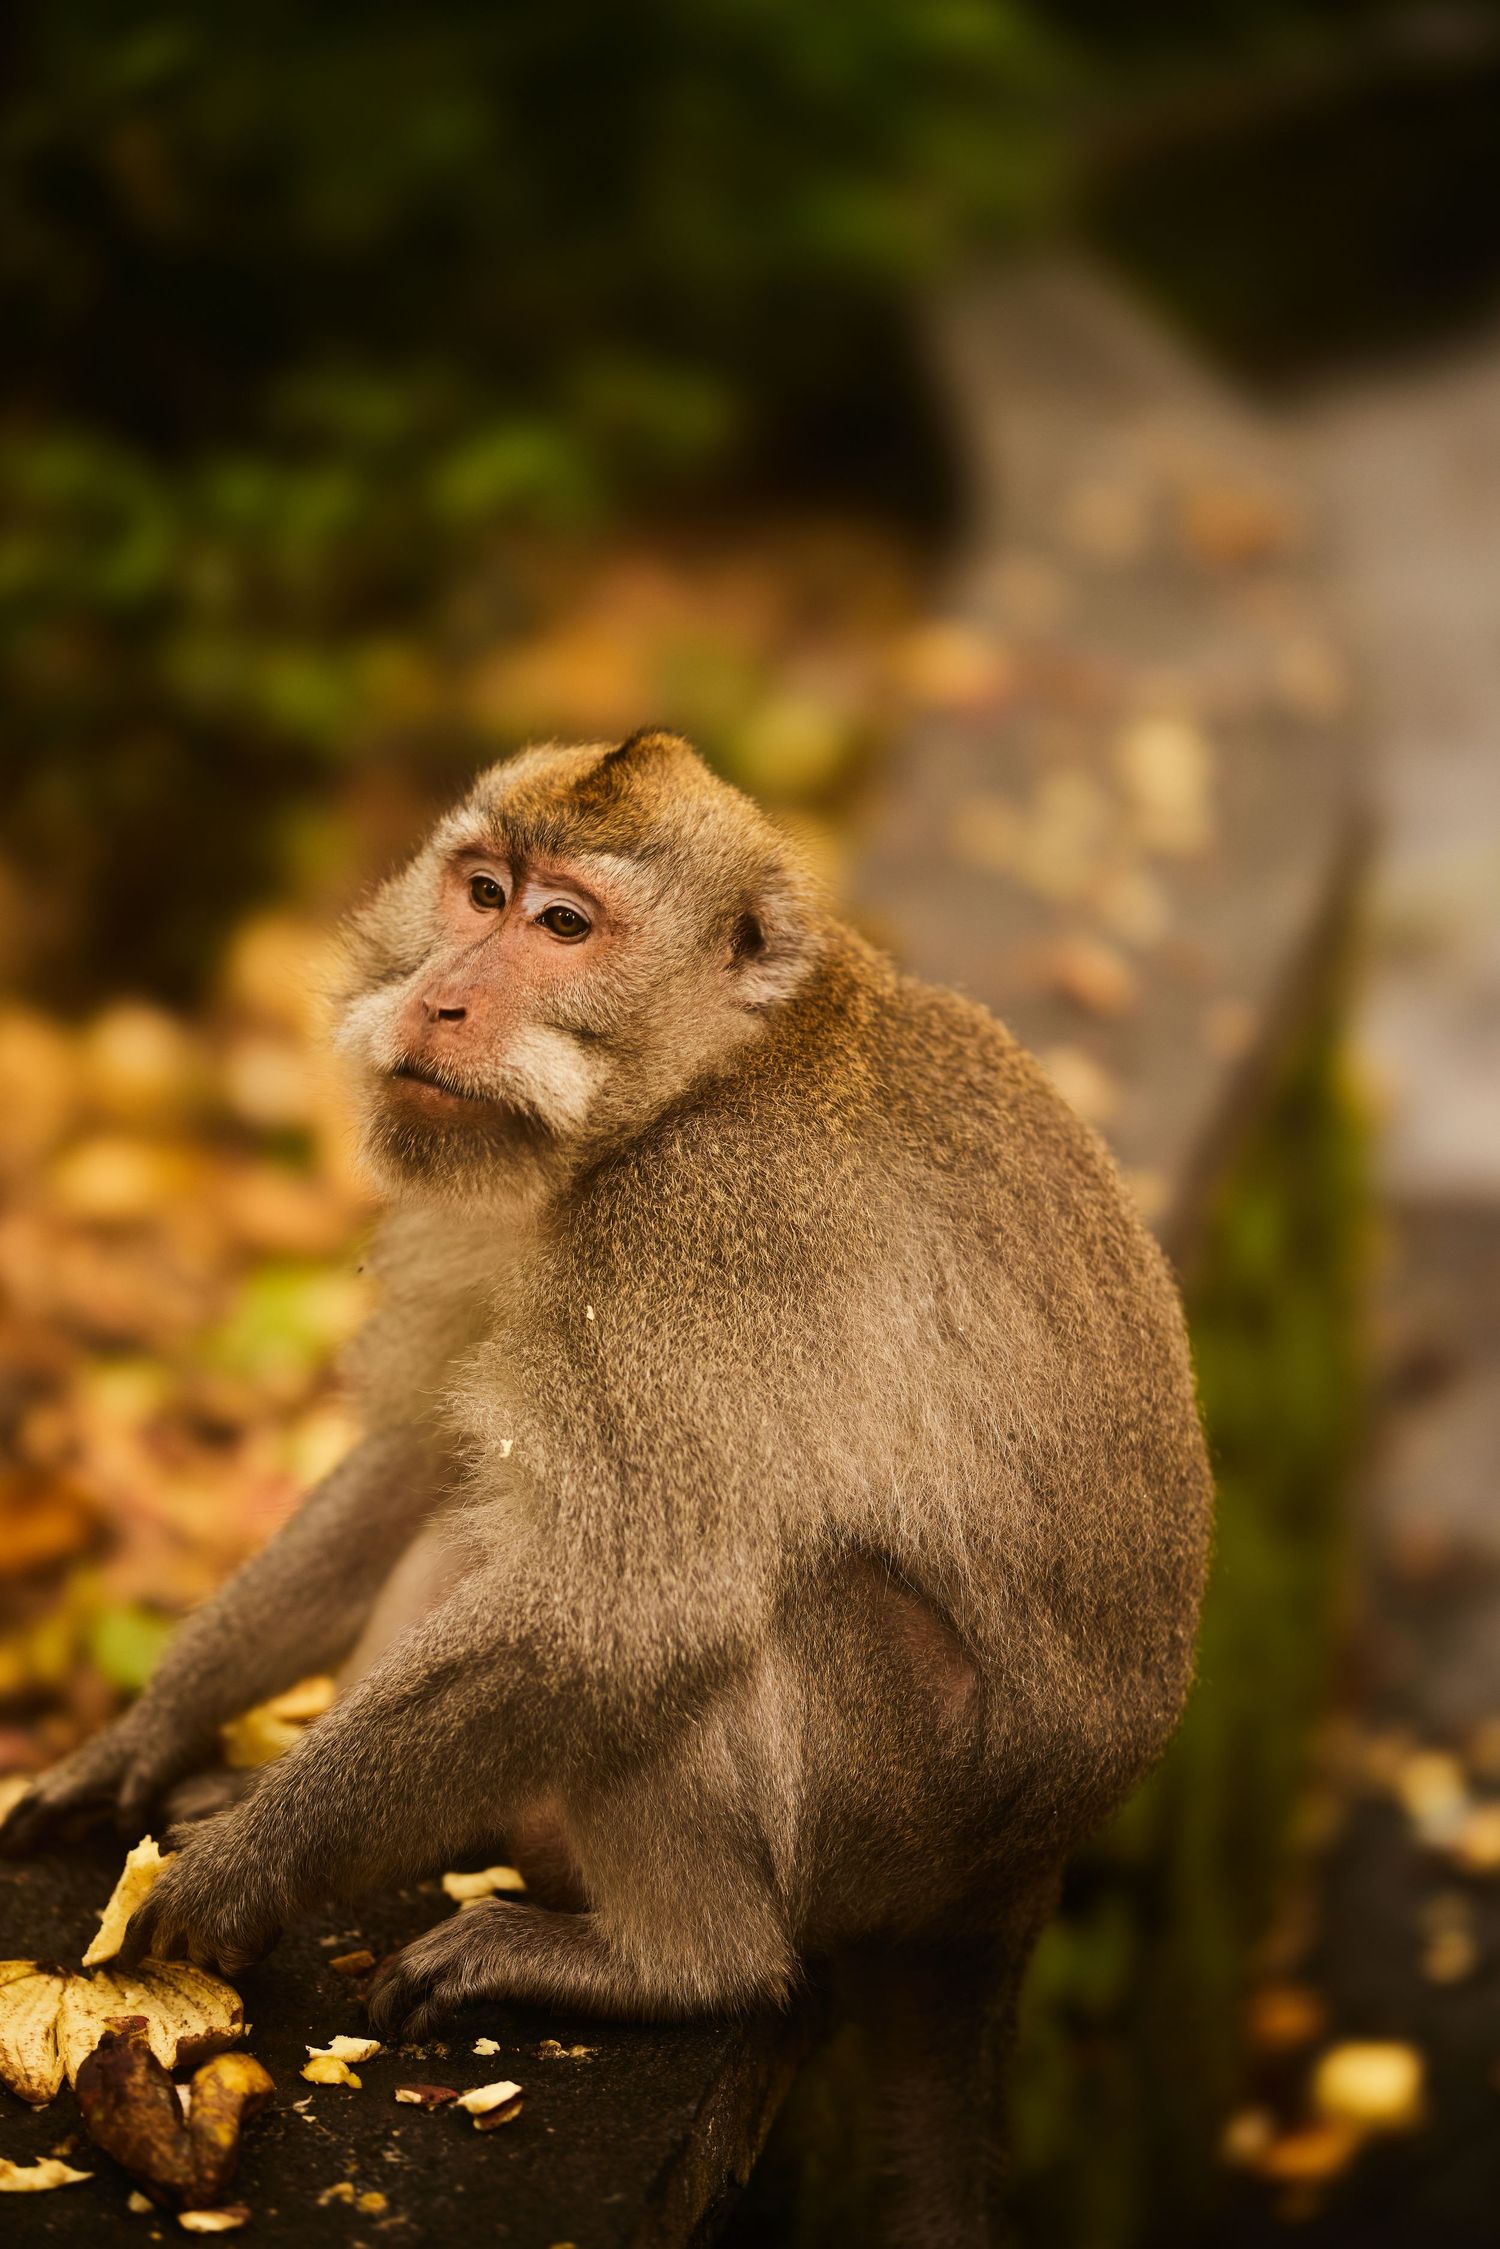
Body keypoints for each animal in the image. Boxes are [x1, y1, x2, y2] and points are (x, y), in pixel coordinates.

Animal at [0, 731, 1211, 2243]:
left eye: (565, 926)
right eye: (480, 892)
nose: (443, 997)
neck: (687, 1088)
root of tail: (1027, 1872)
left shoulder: (701, 1229)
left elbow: (630, 1608)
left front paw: (233, 1876)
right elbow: (422, 1456)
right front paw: (146, 1733)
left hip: (906, 1818)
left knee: (723, 1623)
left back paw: (677, 1964)